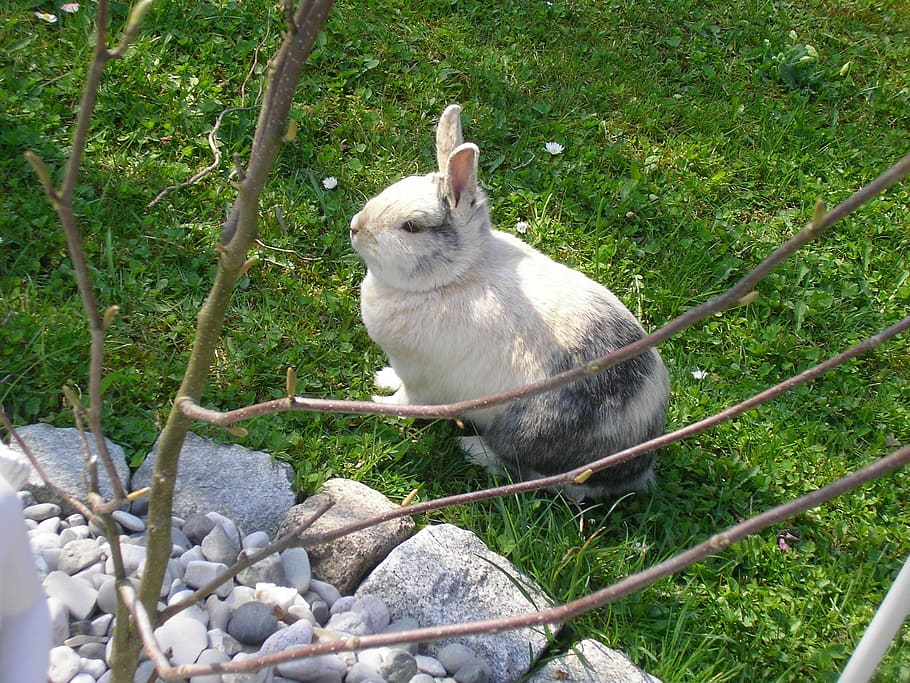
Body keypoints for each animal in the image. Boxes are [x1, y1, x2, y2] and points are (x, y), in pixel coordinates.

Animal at [349, 104, 670, 500]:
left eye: (411, 227)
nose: (355, 227)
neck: (455, 276)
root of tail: (634, 468)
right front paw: (381, 379)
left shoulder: (422, 382)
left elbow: (407, 403)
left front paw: (378, 404)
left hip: (525, 429)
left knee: (526, 470)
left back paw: (472, 449)